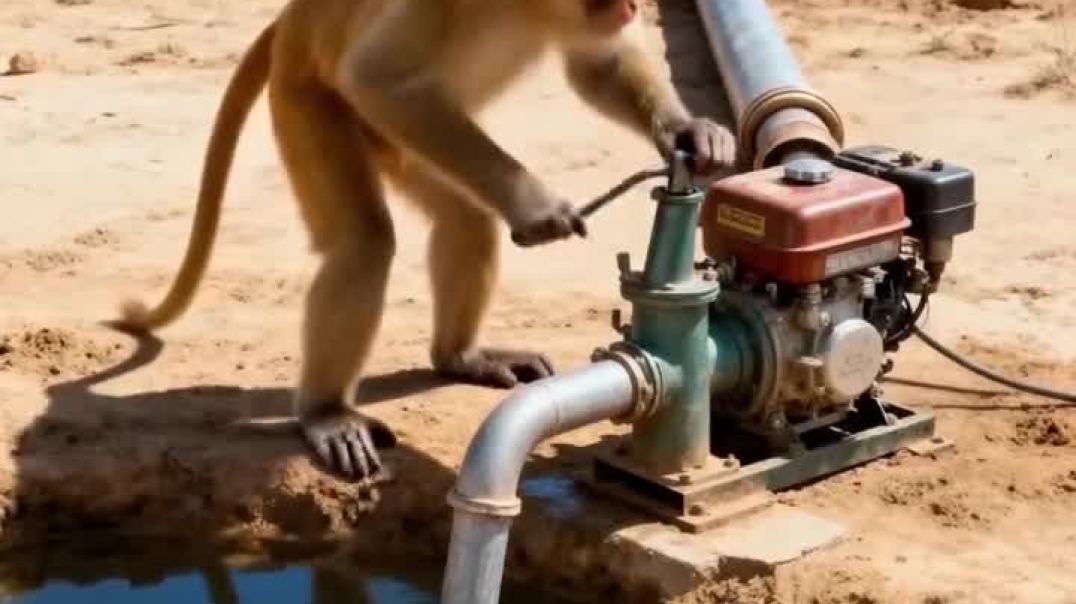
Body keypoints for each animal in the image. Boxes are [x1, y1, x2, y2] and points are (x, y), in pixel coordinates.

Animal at [110, 0, 737, 483]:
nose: (632, 3)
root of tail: (290, 22)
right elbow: (377, 78)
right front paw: (540, 210)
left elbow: (599, 64)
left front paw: (691, 134)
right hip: (307, 97)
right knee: (365, 240)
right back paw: (326, 413)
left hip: (395, 140)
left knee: (467, 218)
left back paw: (460, 356)